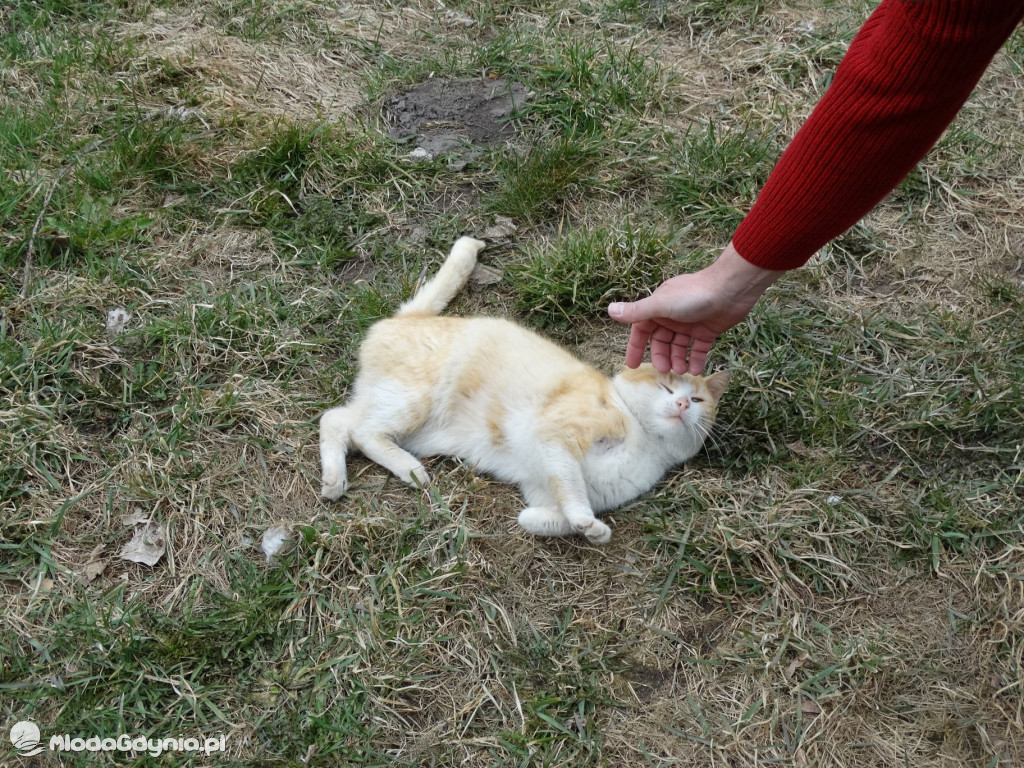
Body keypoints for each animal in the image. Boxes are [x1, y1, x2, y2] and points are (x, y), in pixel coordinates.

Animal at [319, 236, 729, 544]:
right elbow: (573, 492)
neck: (645, 441)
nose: (681, 403)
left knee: (337, 420)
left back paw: (335, 481)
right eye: (665, 386)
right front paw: (589, 524)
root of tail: (408, 317)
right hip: (412, 401)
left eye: (697, 400)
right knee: (361, 429)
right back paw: (409, 470)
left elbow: (554, 516)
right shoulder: (557, 439)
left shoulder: (540, 485)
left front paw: (573, 526)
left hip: (406, 418)